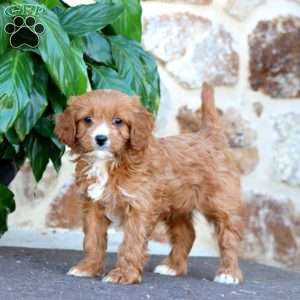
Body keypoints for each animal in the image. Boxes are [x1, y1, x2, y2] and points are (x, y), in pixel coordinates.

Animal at [55, 83, 245, 284]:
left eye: (118, 121)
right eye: (87, 119)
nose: (100, 138)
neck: (110, 163)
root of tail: (209, 136)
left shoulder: (138, 208)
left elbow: (131, 244)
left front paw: (123, 275)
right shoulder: (93, 205)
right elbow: (93, 240)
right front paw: (88, 268)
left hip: (220, 202)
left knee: (229, 236)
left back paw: (229, 273)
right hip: (176, 205)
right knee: (187, 233)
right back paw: (172, 267)